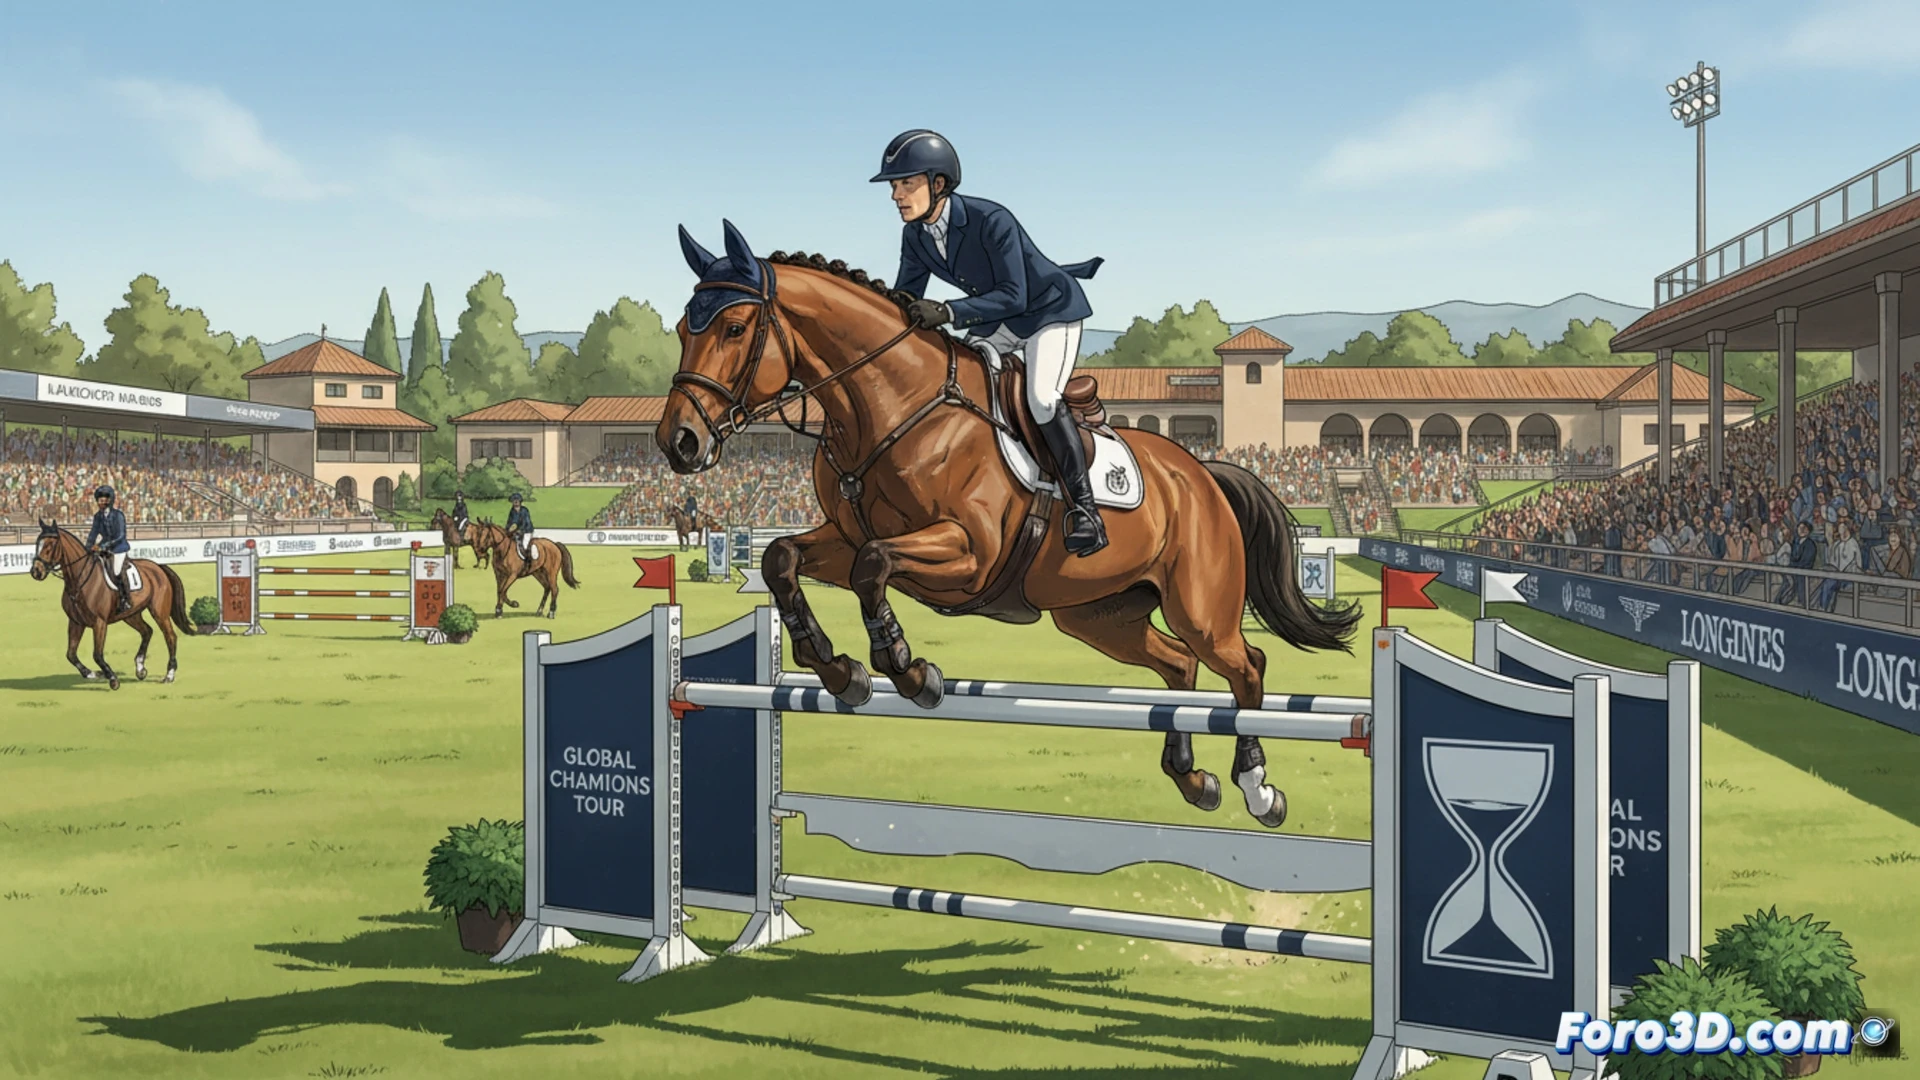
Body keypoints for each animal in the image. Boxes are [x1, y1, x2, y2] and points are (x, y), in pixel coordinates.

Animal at [29, 521, 194, 690]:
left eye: (50, 545)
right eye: (37, 543)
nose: (36, 572)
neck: (79, 580)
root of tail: (159, 567)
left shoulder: (99, 623)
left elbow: (97, 654)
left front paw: (113, 679)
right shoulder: (76, 622)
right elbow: (71, 654)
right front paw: (92, 674)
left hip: (159, 612)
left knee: (170, 636)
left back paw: (169, 675)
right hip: (130, 614)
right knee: (147, 631)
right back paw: (140, 669)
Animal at [657, 223, 1361, 829]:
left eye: (735, 327)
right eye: (682, 329)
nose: (678, 444)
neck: (892, 407)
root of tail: (1203, 473)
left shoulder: (969, 554)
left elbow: (873, 566)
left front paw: (907, 670)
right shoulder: (842, 534)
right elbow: (781, 557)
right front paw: (836, 669)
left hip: (1200, 604)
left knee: (1245, 666)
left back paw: (1259, 789)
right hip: (1100, 615)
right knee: (1179, 665)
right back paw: (1193, 779)